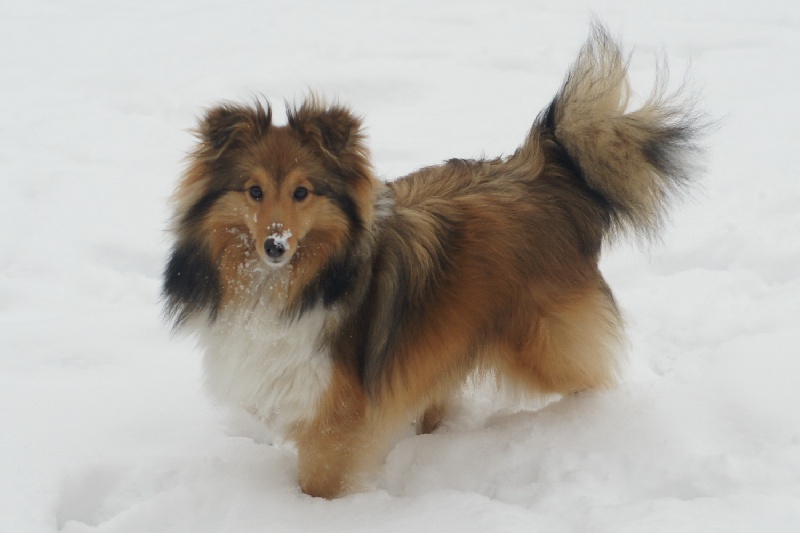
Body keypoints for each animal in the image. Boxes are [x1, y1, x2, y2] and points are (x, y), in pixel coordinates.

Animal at [166, 25, 704, 498]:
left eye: (302, 192)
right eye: (253, 191)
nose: (275, 245)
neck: (281, 285)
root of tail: (545, 173)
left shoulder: (334, 412)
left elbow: (319, 482)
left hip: (544, 343)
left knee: (591, 377)